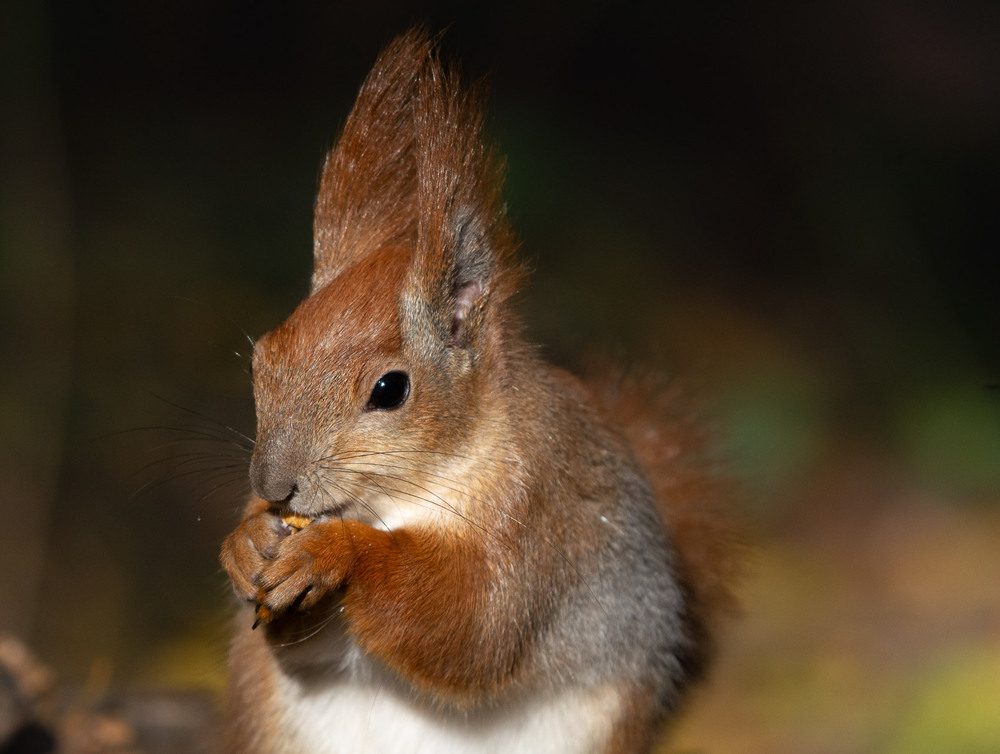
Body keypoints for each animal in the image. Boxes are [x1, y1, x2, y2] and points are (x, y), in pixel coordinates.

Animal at [221, 27, 736, 752]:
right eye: (260, 359)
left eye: (390, 388)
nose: (273, 487)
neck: (401, 497)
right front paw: (243, 544)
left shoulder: (540, 512)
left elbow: (477, 622)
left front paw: (336, 551)